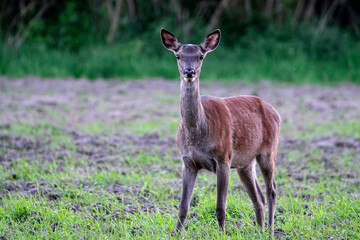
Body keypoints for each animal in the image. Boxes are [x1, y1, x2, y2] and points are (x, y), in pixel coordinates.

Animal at [160, 28, 282, 234]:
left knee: (271, 190)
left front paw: (222, 233)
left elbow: (220, 207)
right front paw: (176, 233)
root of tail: (275, 111)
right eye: (178, 55)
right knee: (258, 197)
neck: (198, 133)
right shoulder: (188, 162)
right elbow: (183, 207)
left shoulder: (223, 158)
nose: (189, 72)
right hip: (245, 163)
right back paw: (259, 230)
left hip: (268, 151)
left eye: (201, 56)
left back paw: (271, 231)